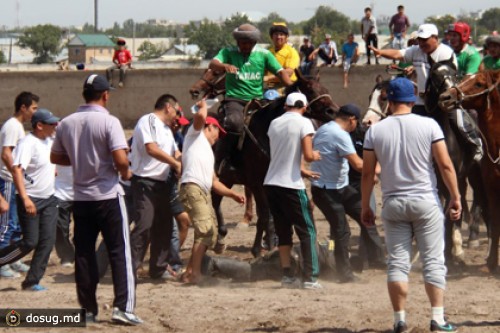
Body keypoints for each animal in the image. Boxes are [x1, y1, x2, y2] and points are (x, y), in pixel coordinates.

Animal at [422, 57, 484, 268]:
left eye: (455, 74)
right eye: (434, 75)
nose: (448, 98)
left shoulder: (452, 179)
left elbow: (450, 213)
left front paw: (453, 252)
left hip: (474, 174)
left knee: (475, 198)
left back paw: (469, 239)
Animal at [438, 68, 500, 272]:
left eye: (479, 83)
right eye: (463, 78)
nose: (446, 97)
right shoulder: (490, 186)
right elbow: (495, 221)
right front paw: (492, 262)